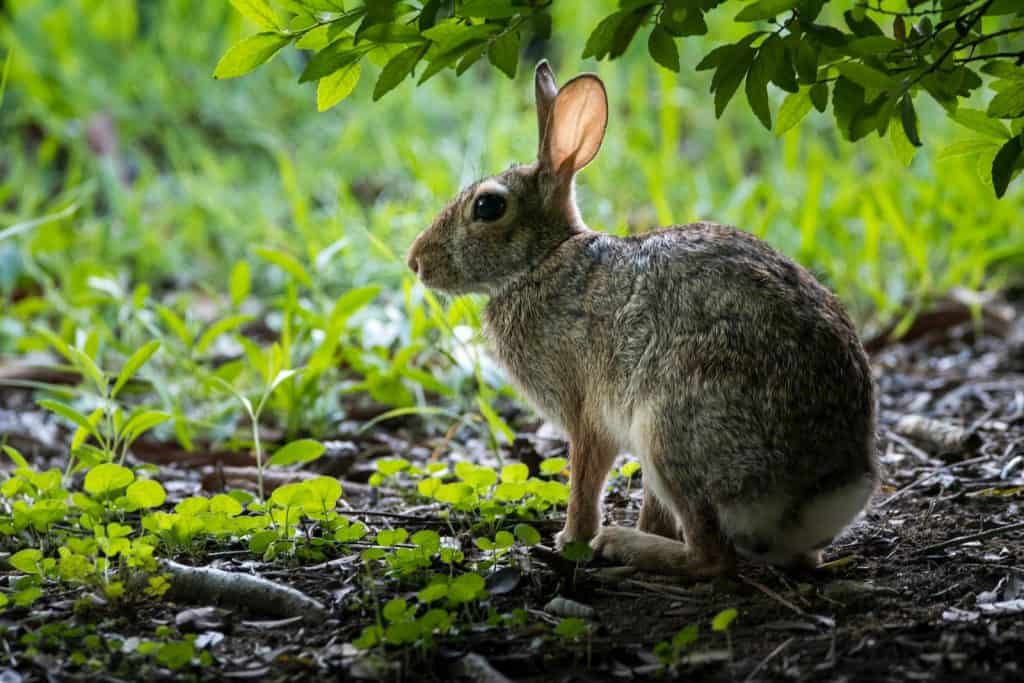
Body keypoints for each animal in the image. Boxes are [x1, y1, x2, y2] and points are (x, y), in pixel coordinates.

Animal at [407, 60, 880, 577]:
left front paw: (569, 540)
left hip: (669, 428)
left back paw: (622, 544)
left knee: (711, 557)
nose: (416, 262)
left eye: (488, 206)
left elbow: (585, 481)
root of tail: (820, 493)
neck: (543, 260)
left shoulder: (586, 413)